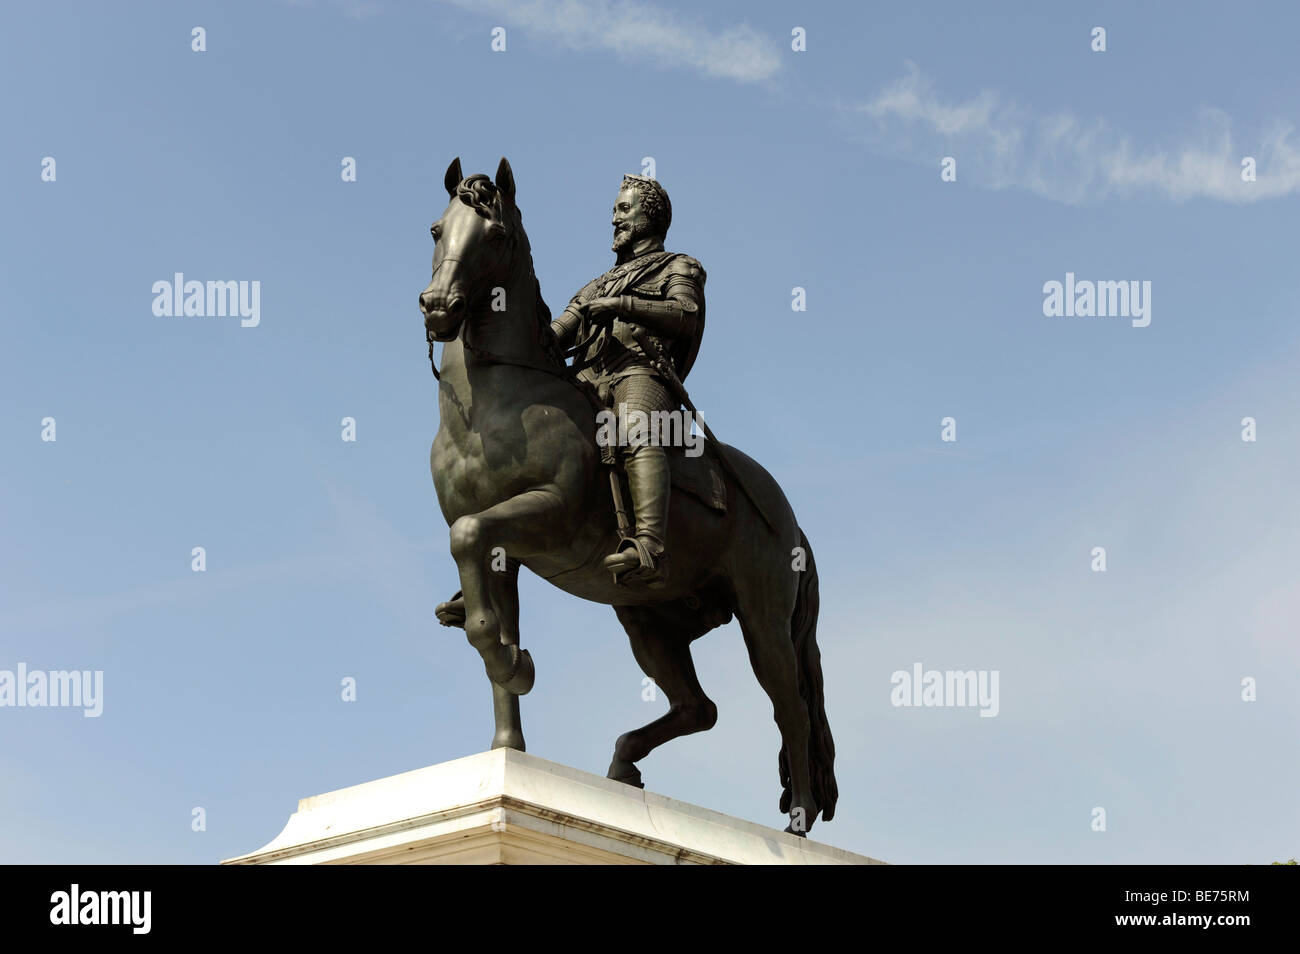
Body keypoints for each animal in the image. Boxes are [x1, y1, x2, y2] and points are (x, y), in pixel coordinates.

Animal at [421, 158, 837, 837]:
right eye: (438, 228)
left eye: (495, 233)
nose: (438, 306)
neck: (495, 406)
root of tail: (791, 522)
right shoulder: (502, 554)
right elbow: (486, 624)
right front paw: (508, 741)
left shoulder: (546, 515)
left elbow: (469, 540)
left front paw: (519, 666)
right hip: (648, 620)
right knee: (699, 708)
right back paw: (623, 764)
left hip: (763, 620)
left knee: (792, 709)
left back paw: (798, 821)